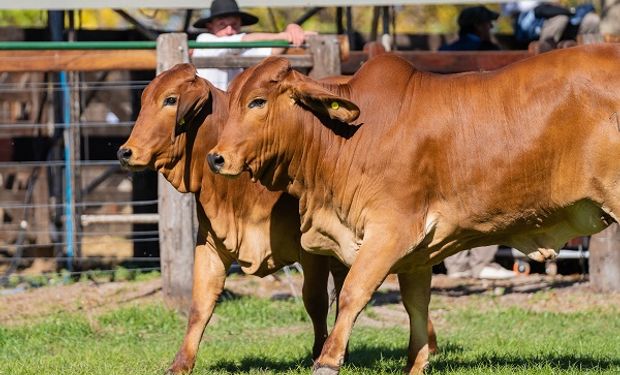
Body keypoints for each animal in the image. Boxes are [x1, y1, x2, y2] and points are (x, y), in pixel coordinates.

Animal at [207, 44, 620, 375]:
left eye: (258, 101)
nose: (216, 157)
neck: (351, 137)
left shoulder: (392, 229)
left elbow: (354, 291)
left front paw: (327, 361)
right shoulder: (419, 251)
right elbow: (416, 304)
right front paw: (418, 362)